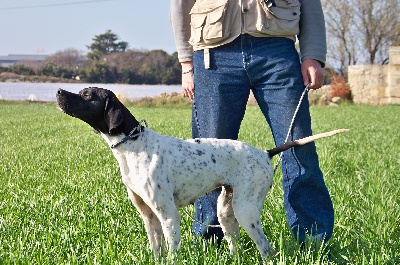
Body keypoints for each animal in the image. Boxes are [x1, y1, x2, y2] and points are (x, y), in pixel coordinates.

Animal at [56, 87, 346, 260]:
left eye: (87, 94)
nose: (58, 91)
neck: (133, 145)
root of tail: (265, 153)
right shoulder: (149, 217)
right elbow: (156, 251)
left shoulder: (168, 215)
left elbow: (172, 253)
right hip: (226, 211)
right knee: (236, 245)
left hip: (246, 210)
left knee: (266, 248)